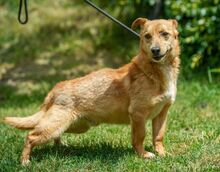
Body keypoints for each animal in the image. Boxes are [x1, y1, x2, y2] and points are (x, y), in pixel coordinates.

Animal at [3, 17, 180, 165]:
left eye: (164, 34)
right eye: (147, 36)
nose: (155, 50)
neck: (156, 71)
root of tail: (56, 88)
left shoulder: (162, 114)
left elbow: (158, 136)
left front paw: (163, 154)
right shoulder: (138, 114)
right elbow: (139, 137)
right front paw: (143, 155)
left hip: (74, 126)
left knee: (52, 135)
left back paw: (60, 146)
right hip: (55, 125)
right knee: (30, 136)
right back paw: (25, 161)